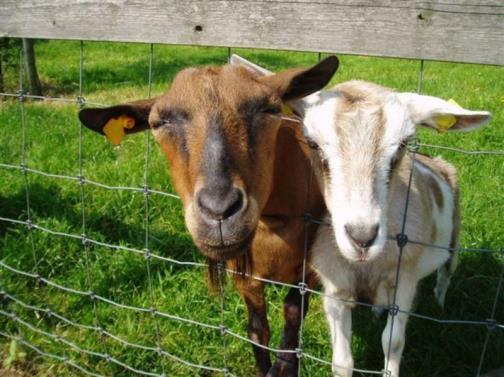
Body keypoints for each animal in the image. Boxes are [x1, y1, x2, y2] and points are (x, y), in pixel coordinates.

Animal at [79, 56, 338, 376]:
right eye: (159, 122)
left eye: (270, 109)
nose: (219, 211)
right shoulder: (244, 274)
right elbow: (258, 331)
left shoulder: (310, 270)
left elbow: (292, 320)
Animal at [292, 82, 492, 376]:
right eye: (312, 143)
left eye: (402, 145)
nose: (362, 237)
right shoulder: (335, 287)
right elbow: (341, 362)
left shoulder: (406, 278)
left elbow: (393, 341)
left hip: (454, 234)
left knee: (446, 274)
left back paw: (440, 306)